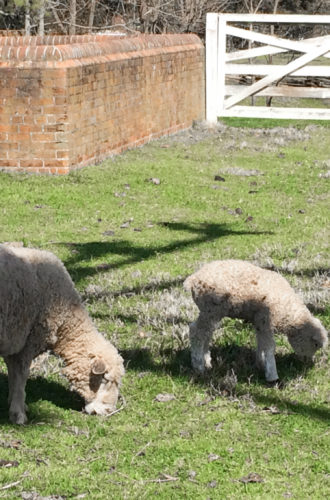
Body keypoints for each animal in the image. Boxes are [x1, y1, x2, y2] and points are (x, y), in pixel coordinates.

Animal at [0, 244, 124, 424]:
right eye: (105, 379)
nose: (109, 411)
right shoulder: (28, 340)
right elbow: (21, 377)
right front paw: (18, 414)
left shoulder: (14, 341)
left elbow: (13, 374)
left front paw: (15, 403)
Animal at [184, 260, 328, 380]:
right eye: (315, 344)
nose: (306, 362)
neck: (287, 310)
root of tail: (192, 279)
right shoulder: (266, 319)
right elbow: (269, 346)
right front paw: (272, 375)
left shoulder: (260, 321)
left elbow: (261, 342)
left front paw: (261, 363)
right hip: (211, 309)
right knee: (197, 332)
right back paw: (198, 366)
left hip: (212, 312)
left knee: (206, 334)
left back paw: (206, 361)